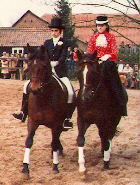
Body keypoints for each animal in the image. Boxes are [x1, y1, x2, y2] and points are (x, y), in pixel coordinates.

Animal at [22, 44, 75, 178]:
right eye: (29, 64)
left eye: (44, 66)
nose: (34, 89)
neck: (43, 97)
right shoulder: (32, 121)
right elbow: (29, 141)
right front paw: (25, 168)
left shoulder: (56, 123)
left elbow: (54, 142)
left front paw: (55, 167)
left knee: (56, 139)